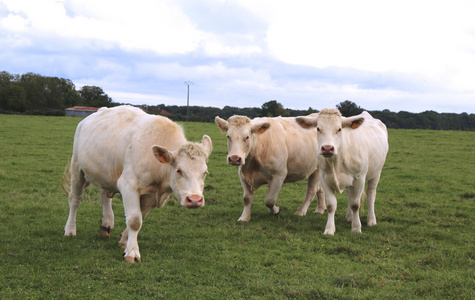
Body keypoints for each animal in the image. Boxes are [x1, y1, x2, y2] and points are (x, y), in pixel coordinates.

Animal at [64, 105, 213, 262]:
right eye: (179, 170)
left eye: (205, 172)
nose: (195, 200)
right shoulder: (129, 186)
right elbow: (135, 221)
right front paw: (132, 252)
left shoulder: (150, 196)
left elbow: (140, 217)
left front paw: (124, 241)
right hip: (77, 167)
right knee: (75, 199)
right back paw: (70, 229)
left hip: (106, 173)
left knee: (104, 196)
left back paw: (106, 224)